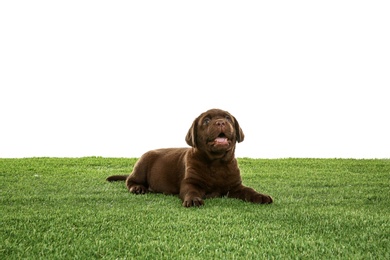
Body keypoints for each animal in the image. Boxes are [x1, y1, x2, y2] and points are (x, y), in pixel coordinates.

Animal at [105, 107, 272, 207]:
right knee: (130, 180)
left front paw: (260, 196)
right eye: (206, 121)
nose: (220, 122)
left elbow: (249, 190)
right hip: (143, 163)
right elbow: (191, 191)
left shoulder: (235, 186)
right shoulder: (190, 182)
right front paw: (193, 200)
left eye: (227, 118)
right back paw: (138, 188)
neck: (216, 162)